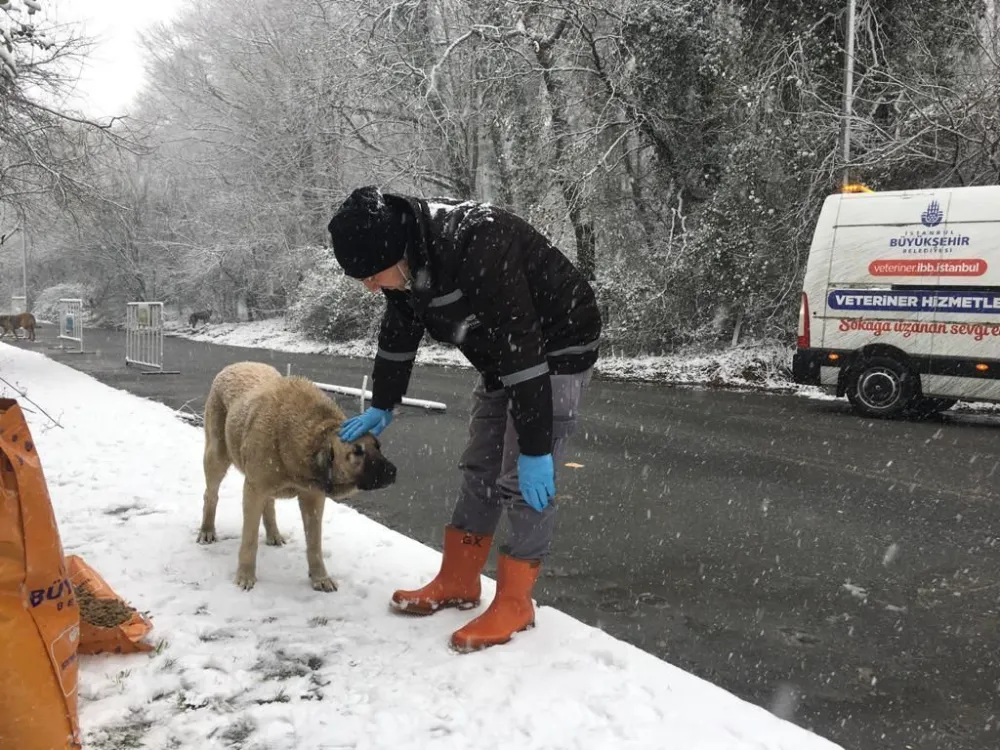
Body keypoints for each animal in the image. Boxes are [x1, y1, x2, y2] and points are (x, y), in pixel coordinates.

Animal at [197, 362, 396, 592]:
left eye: (378, 446)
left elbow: (314, 543)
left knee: (269, 504)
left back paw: (273, 534)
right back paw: (207, 530)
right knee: (211, 495)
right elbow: (249, 539)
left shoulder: (313, 497)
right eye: (357, 452)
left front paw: (320, 578)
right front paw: (245, 576)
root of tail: (235, 365)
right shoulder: (254, 489)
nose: (393, 471)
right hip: (217, 456)